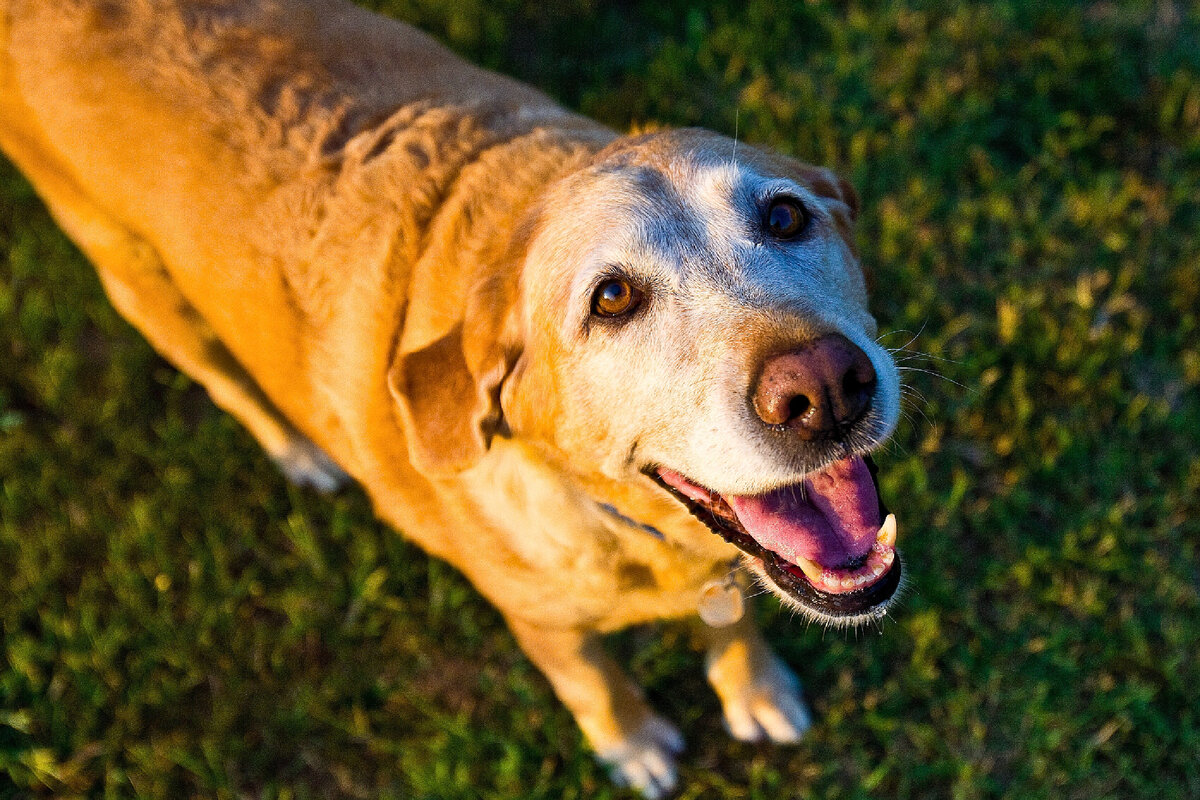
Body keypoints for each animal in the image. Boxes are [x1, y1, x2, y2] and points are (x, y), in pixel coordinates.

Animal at [0, 0, 902, 796]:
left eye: (785, 216)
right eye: (611, 299)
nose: (825, 388)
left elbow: (737, 617)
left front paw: (754, 689)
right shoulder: (541, 624)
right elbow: (594, 684)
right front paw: (635, 744)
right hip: (139, 283)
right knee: (226, 381)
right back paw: (300, 453)